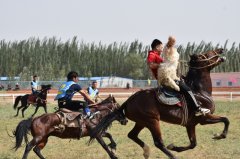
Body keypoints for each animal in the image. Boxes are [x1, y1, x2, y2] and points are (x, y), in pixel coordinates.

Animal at [90, 48, 229, 159]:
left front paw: (175, 147)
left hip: (142, 122)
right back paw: (171, 156)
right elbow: (225, 119)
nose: (221, 50)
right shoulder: (205, 118)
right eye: (205, 54)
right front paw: (220, 135)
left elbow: (193, 144)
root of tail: (130, 100)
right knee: (158, 142)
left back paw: (146, 151)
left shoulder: (191, 124)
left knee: (132, 135)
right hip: (152, 121)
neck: (198, 91)